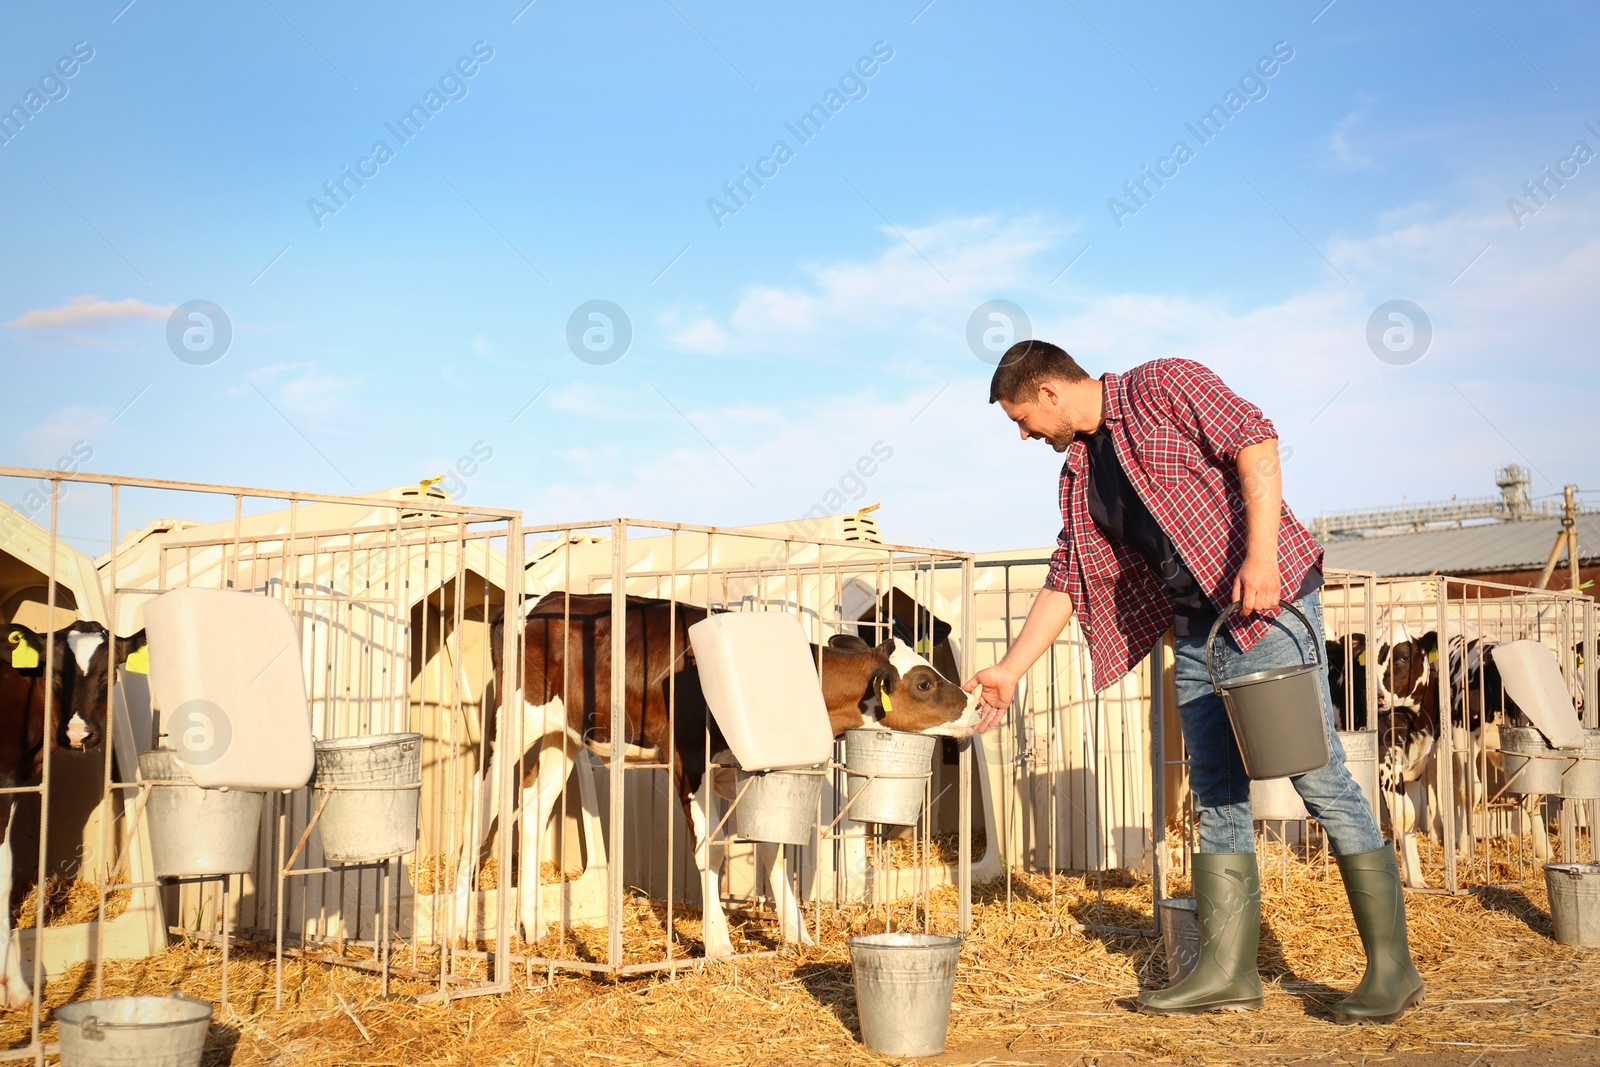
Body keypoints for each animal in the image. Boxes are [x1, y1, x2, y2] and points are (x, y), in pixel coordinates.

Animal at [467, 598, 979, 953]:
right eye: (925, 683)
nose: (976, 705)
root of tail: (534, 603)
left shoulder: (749, 769)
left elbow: (772, 849)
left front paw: (797, 935)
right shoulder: (688, 759)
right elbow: (709, 851)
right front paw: (718, 943)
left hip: (564, 739)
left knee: (533, 810)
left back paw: (534, 927)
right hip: (508, 724)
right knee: (482, 800)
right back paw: (458, 927)